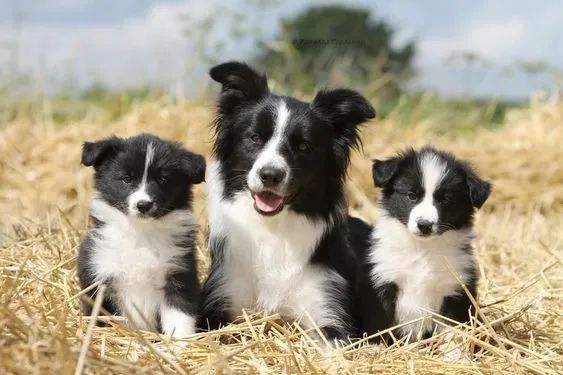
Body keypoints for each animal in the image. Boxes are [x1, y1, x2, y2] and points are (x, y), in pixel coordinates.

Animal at [77, 134, 205, 338]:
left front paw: (181, 343)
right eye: (126, 179)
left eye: (163, 179)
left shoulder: (179, 276)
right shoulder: (97, 275)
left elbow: (180, 317)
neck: (141, 232)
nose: (144, 204)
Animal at [200, 61, 376, 340]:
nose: (270, 175)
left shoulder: (329, 313)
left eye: (303, 147)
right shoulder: (219, 300)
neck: (273, 229)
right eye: (254, 138)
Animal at [354, 147, 492, 344]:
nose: (424, 225)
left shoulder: (454, 289)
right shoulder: (383, 282)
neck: (422, 249)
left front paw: (455, 351)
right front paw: (375, 347)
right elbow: (379, 325)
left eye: (445, 200)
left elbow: (452, 328)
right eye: (411, 195)